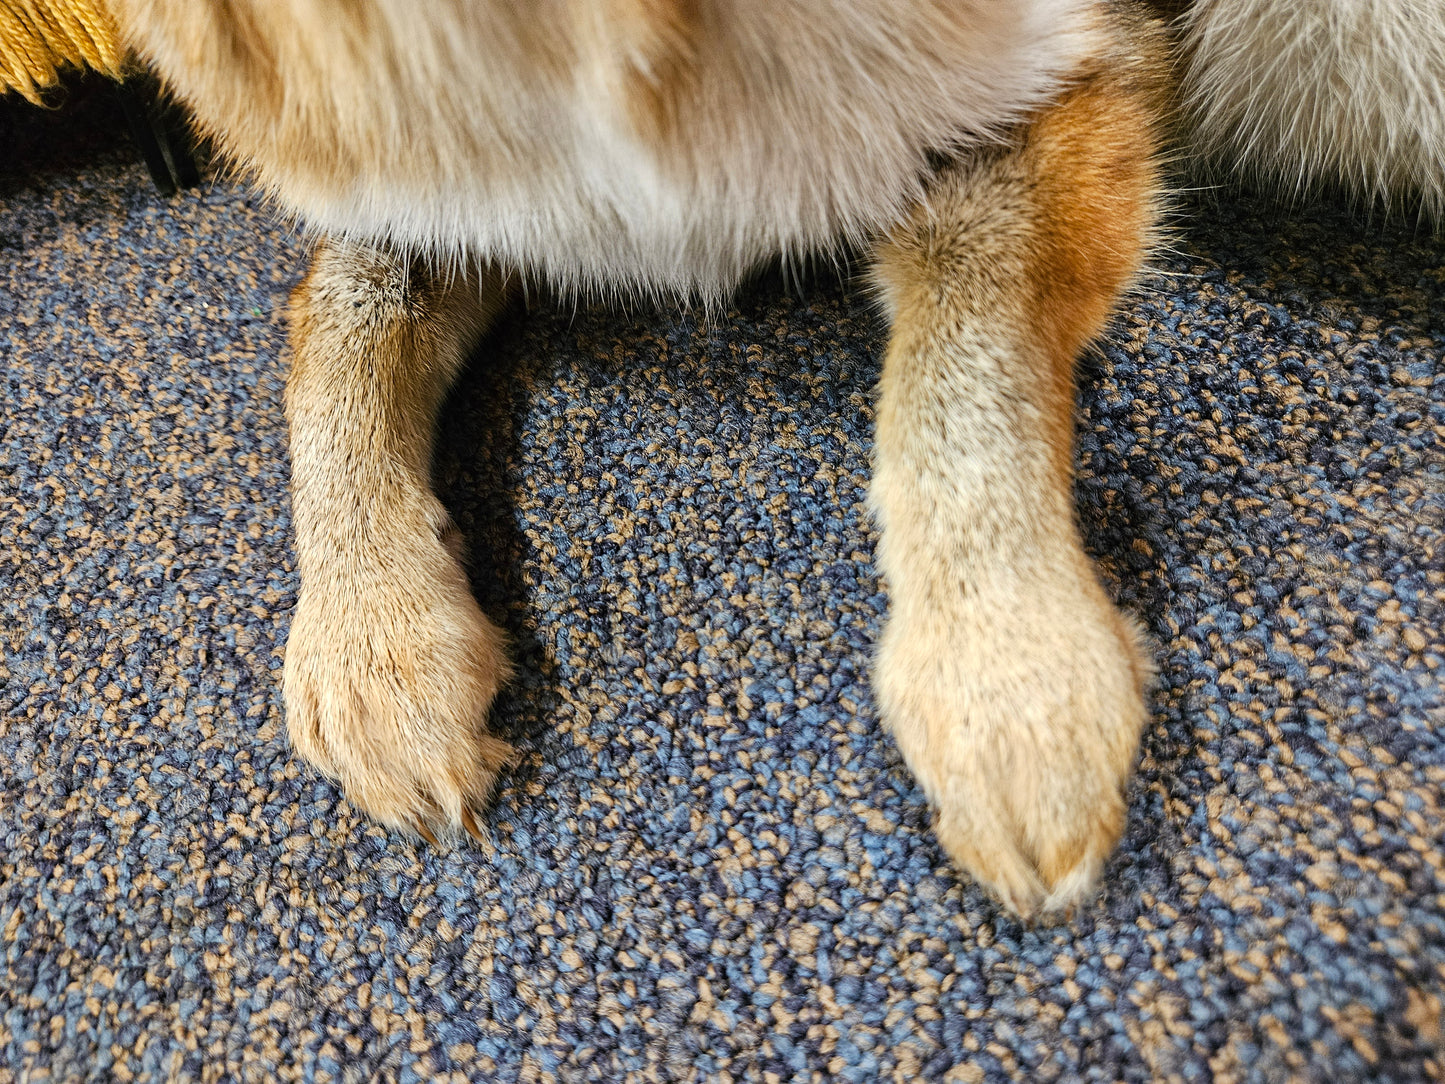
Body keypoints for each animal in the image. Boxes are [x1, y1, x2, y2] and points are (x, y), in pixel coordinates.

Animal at [106, 0, 1445, 919]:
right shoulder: (424, 195)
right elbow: (334, 348)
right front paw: (370, 639)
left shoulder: (1064, 75)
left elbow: (959, 371)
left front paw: (1005, 669)